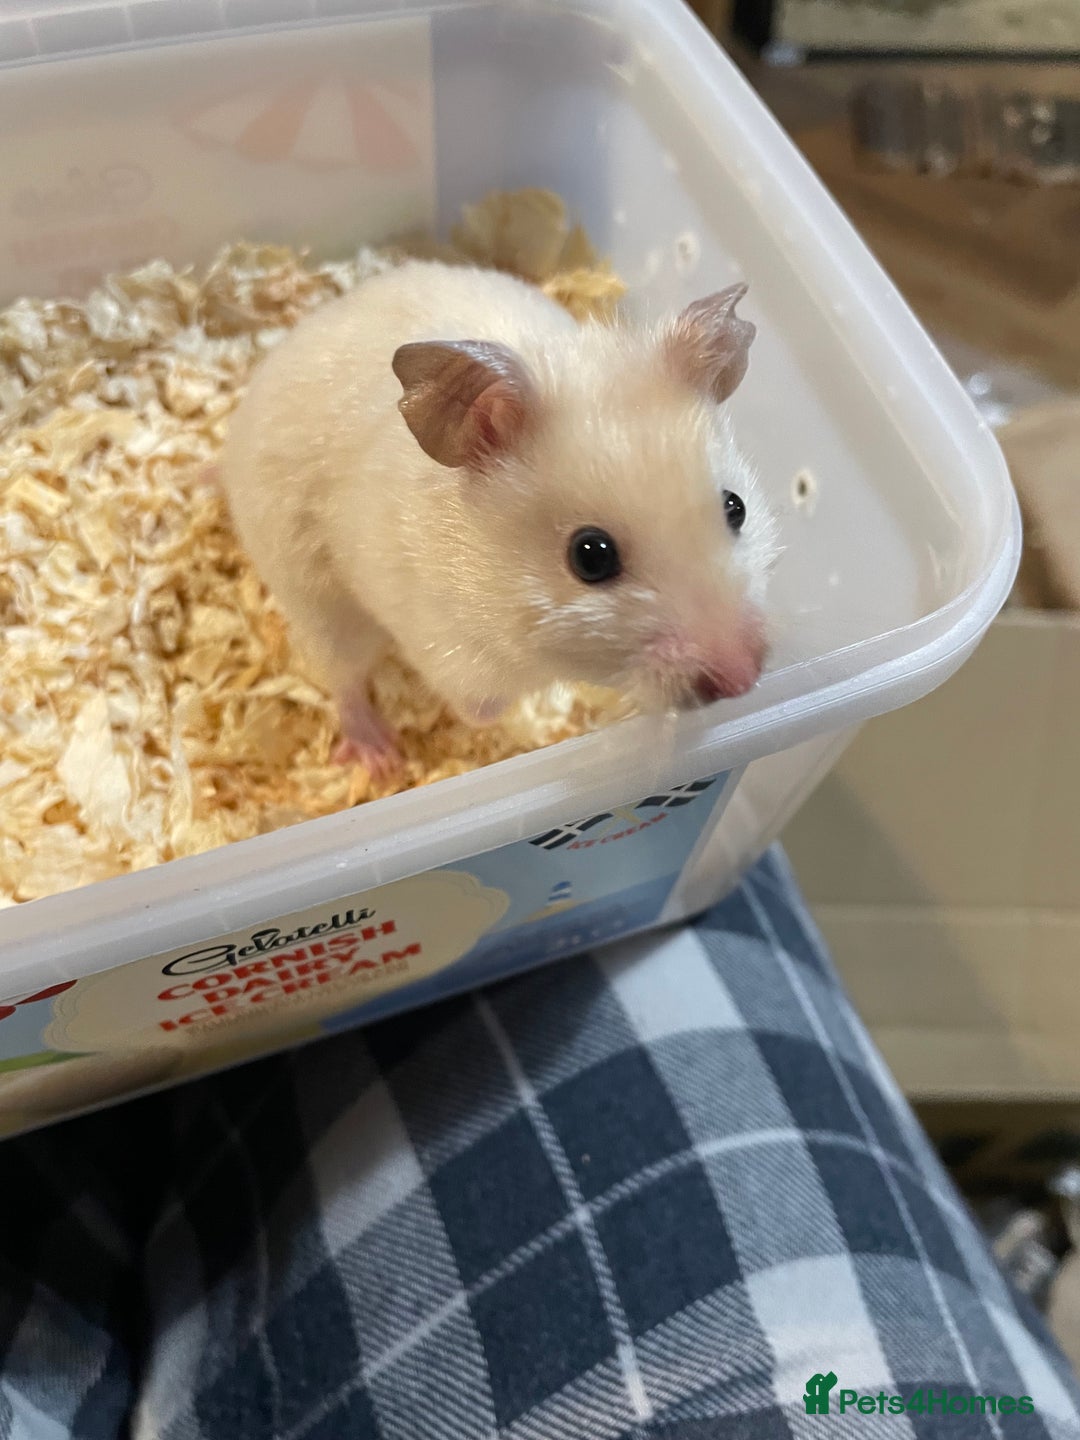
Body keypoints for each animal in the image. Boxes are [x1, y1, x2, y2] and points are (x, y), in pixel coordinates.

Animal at [220, 258, 779, 778]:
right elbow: (483, 712)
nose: (743, 679)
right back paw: (379, 756)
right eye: (590, 556)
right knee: (344, 678)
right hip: (315, 596)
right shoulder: (452, 655)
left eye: (736, 507)